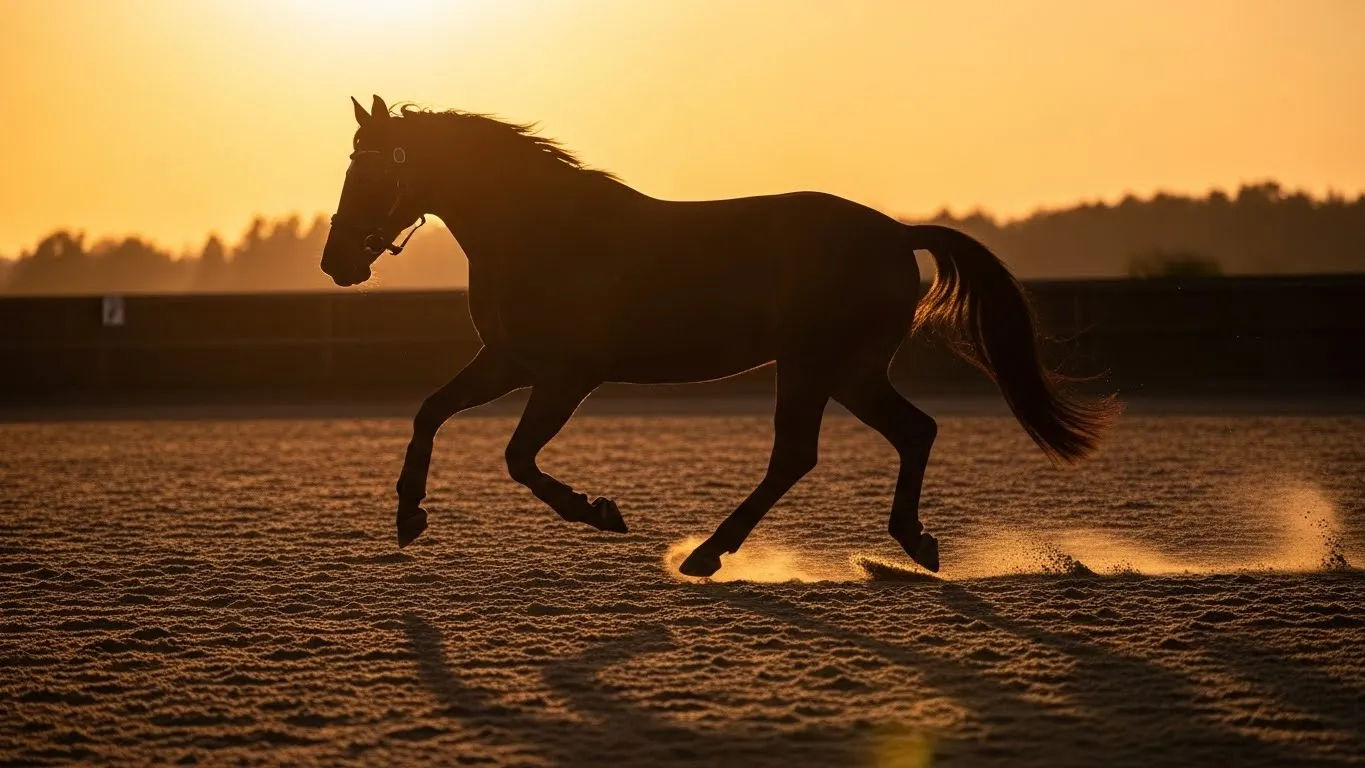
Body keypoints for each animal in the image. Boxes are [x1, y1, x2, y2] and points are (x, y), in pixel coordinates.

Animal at [321, 95, 1119, 578]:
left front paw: (600, 513)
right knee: (909, 431)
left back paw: (707, 555)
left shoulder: (566, 375)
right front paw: (408, 517)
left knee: (798, 453)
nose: (336, 263)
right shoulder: (507, 361)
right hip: (849, 372)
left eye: (371, 172)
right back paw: (912, 543)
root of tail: (895, 232)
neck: (545, 231)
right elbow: (429, 411)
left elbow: (518, 458)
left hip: (812, 365)